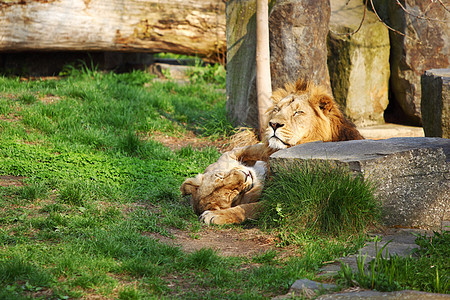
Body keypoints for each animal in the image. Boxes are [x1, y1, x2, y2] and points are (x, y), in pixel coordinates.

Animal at [181, 78, 364, 224]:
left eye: (298, 112)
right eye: (277, 109)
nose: (274, 124)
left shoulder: (287, 198)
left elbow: (249, 208)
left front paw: (215, 215)